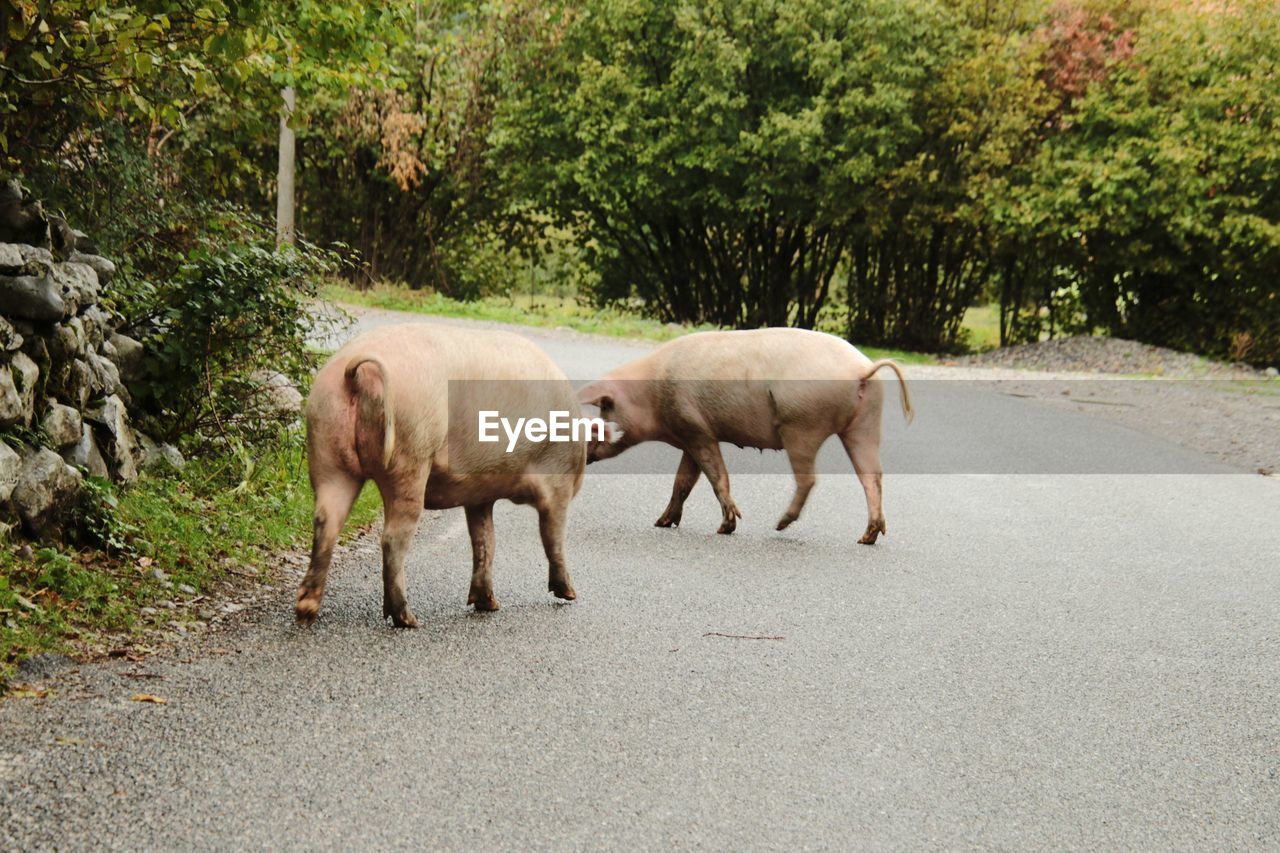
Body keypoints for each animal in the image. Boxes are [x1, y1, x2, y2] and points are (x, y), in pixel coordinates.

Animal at [296, 324, 583, 625]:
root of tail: (355, 370)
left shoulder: (479, 494)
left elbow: (485, 540)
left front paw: (489, 605)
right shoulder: (557, 480)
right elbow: (553, 535)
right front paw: (569, 594)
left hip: (325, 443)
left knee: (325, 520)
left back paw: (306, 610)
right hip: (410, 454)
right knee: (393, 537)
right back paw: (407, 618)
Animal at [576, 327, 916, 540]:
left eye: (604, 410)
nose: (585, 452)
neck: (652, 394)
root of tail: (862, 368)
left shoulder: (695, 428)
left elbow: (716, 476)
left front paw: (726, 527)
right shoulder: (690, 434)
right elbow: (683, 482)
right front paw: (661, 523)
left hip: (801, 425)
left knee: (810, 478)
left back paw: (779, 526)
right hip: (865, 424)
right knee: (872, 476)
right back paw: (868, 537)